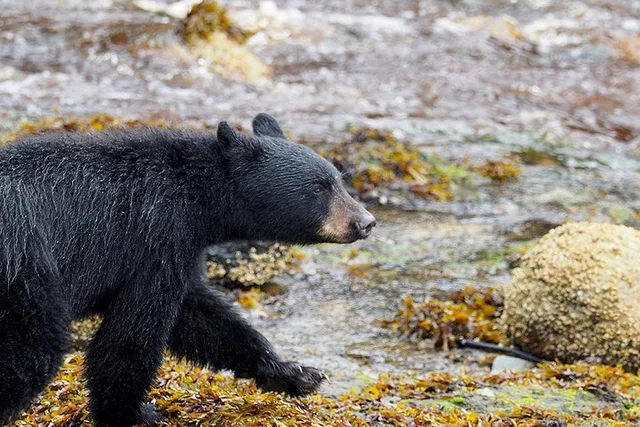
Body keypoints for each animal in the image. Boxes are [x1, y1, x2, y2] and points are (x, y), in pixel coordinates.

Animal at [0, 113, 376, 427]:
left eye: (338, 179)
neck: (197, 198)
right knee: (33, 350)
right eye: (318, 187)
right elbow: (134, 333)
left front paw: (291, 372)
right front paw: (133, 413)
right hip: (25, 267)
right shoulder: (156, 238)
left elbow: (201, 317)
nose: (366, 221)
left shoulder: (181, 247)